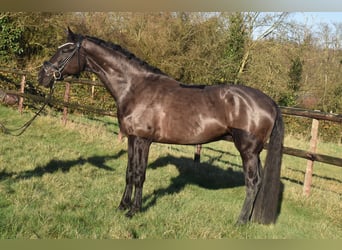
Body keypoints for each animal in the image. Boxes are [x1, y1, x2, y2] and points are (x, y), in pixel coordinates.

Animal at [38, 27, 284, 225]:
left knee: (252, 182)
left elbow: (139, 174)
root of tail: (270, 102)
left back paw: (240, 221)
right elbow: (129, 172)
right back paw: (250, 219)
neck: (135, 87)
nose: (42, 75)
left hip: (247, 150)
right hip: (254, 152)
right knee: (258, 183)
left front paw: (134, 211)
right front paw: (122, 206)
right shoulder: (131, 138)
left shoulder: (143, 140)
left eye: (66, 50)